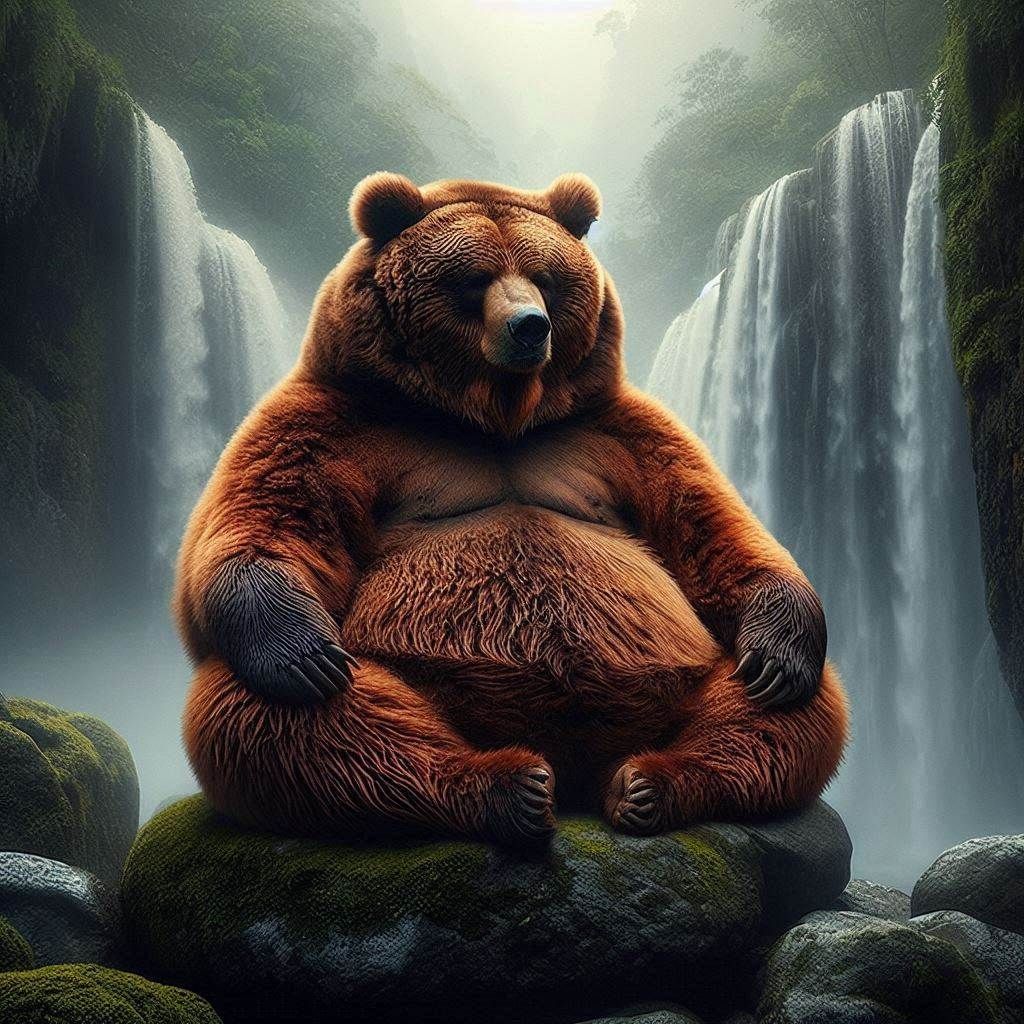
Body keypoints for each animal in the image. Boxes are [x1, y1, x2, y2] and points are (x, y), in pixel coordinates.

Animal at [175, 172, 849, 844]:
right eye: (475, 278)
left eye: (544, 276)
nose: (530, 326)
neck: (495, 416)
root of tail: (575, 762)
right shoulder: (335, 418)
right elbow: (267, 521)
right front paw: (303, 650)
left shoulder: (616, 430)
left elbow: (708, 526)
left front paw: (779, 645)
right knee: (281, 716)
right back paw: (507, 785)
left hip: (679, 683)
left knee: (785, 710)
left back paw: (649, 782)